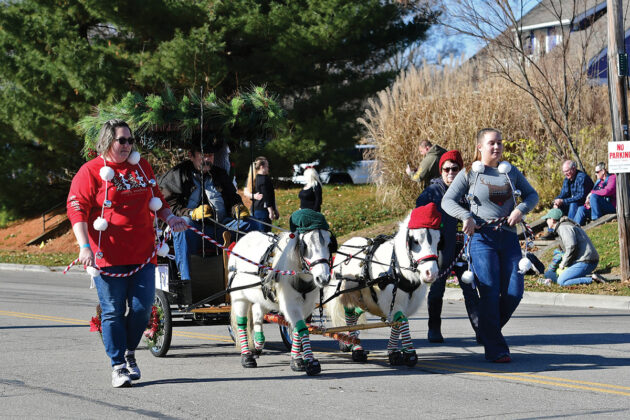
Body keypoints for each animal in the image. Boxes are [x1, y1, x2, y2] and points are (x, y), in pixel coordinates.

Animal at [228, 208, 336, 376]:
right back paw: (247, 356)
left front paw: (297, 360)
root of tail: (242, 239)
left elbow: (297, 328)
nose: (323, 278)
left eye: (330, 244)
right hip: (240, 296)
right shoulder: (290, 304)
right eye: (305, 245)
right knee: (242, 322)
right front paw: (310, 362)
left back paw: (258, 344)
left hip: (261, 297)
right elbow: (302, 328)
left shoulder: (306, 305)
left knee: (257, 314)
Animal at [328, 203, 442, 364]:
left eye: (438, 241)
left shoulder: (405, 302)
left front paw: (394, 352)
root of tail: (346, 245)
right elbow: (402, 320)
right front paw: (410, 354)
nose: (431, 273)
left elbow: (397, 322)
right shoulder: (391, 300)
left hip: (365, 299)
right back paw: (357, 349)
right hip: (348, 292)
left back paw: (349, 342)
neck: (396, 268)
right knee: (349, 314)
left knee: (356, 313)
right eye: (415, 241)